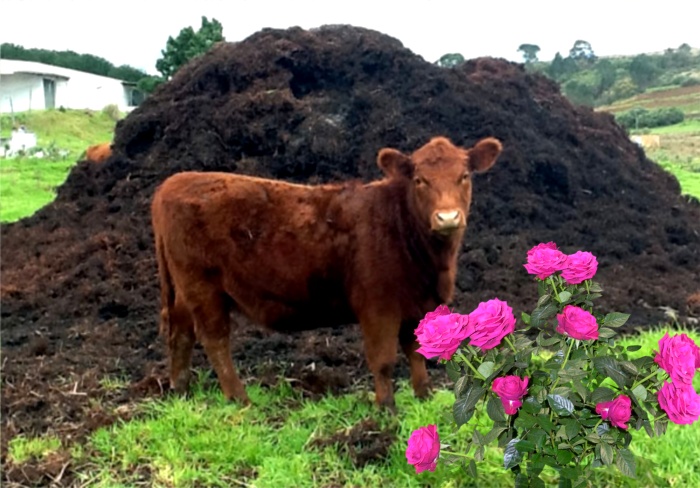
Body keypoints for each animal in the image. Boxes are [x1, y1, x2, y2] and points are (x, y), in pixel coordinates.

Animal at [152, 135, 504, 410]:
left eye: (464, 176)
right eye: (420, 180)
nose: (447, 217)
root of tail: (173, 182)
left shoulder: (416, 304)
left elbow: (415, 352)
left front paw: (424, 396)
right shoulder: (378, 306)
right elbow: (384, 359)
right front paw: (386, 407)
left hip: (184, 290)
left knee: (181, 332)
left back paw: (180, 390)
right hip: (203, 287)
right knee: (214, 339)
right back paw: (240, 398)